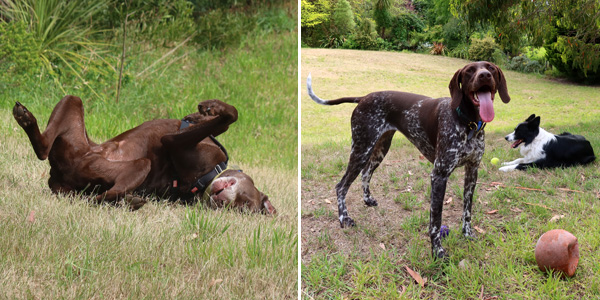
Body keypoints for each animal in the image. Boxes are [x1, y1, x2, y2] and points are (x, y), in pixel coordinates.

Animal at [12, 96, 276, 213]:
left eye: (242, 208)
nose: (222, 202)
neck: (207, 177)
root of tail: (59, 177)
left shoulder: (173, 142)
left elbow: (230, 116)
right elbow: (224, 120)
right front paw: (208, 109)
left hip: (133, 165)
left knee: (93, 196)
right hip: (73, 103)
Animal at [310, 61, 510, 258]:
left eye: (491, 68)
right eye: (469, 71)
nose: (484, 75)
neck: (468, 122)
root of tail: (364, 97)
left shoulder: (472, 171)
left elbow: (467, 210)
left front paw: (467, 234)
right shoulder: (439, 175)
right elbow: (435, 220)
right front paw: (437, 251)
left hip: (380, 149)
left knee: (366, 173)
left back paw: (367, 200)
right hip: (361, 149)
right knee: (341, 186)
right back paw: (344, 218)